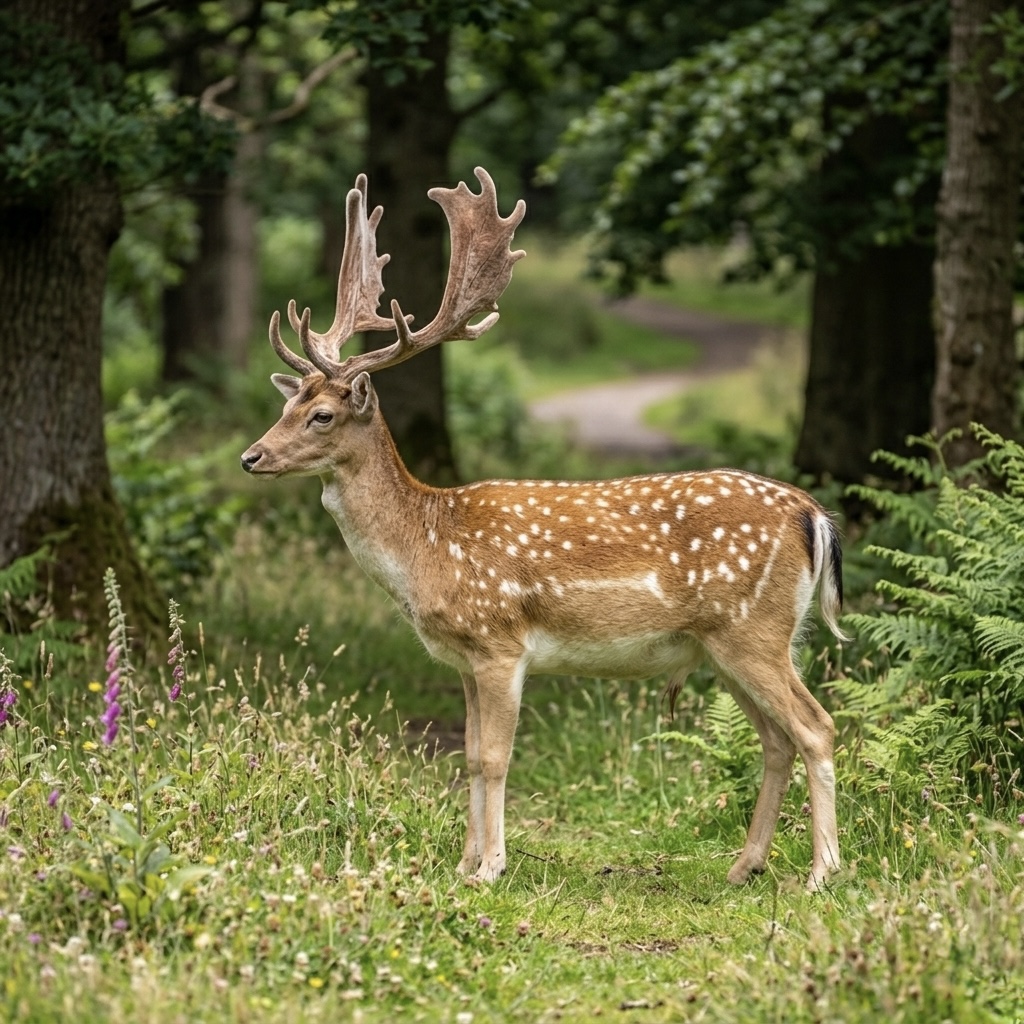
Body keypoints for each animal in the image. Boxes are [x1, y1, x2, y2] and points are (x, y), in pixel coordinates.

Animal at [241, 167, 848, 892]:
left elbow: (496, 758)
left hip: (755, 629)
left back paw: (822, 873)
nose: (251, 457)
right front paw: (463, 863)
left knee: (816, 727)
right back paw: (744, 866)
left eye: (323, 415)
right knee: (777, 737)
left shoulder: (500, 642)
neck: (426, 545)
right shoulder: (462, 658)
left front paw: (491, 868)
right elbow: (470, 757)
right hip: (726, 645)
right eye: (286, 405)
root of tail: (813, 515)